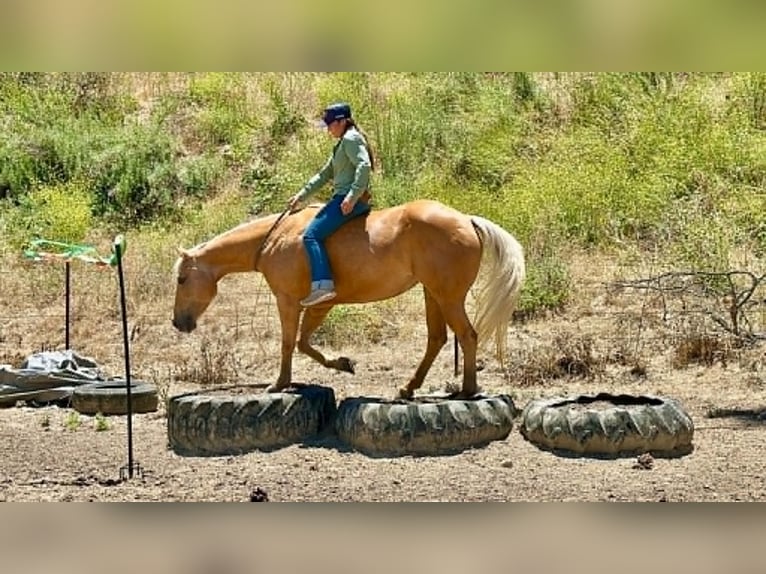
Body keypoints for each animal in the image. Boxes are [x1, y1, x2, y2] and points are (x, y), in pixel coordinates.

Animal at [172, 199, 525, 399]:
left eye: (182, 278)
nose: (178, 322)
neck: (277, 238)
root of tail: (467, 220)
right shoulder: (321, 305)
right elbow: (303, 343)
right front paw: (343, 364)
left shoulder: (287, 301)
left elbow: (288, 343)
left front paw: (280, 383)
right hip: (433, 294)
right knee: (437, 338)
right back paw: (409, 388)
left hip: (448, 297)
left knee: (467, 335)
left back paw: (467, 390)